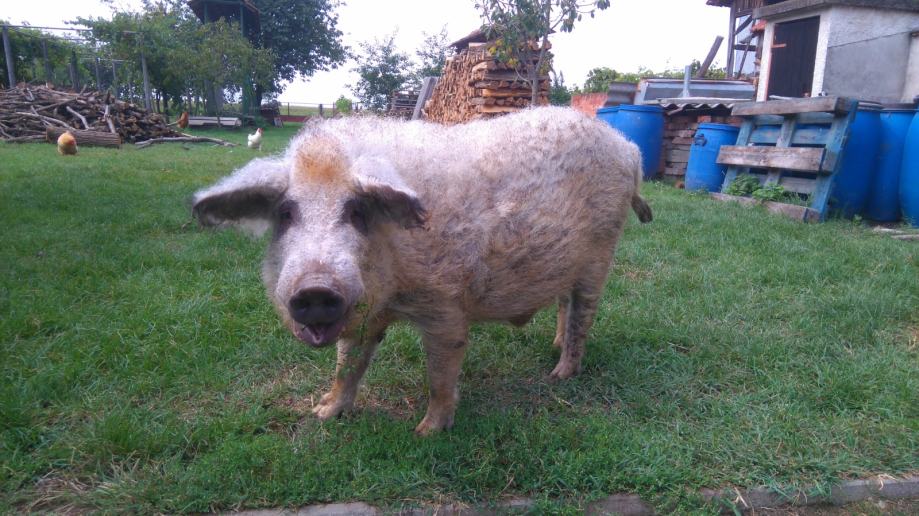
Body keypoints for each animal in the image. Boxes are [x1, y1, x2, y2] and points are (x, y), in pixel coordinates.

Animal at [192, 107, 652, 435]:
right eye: (286, 214)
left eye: (357, 212)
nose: (316, 289)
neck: (393, 289)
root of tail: (628, 150)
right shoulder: (365, 314)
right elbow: (347, 364)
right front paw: (322, 412)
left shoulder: (445, 303)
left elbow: (440, 372)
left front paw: (425, 432)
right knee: (564, 303)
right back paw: (553, 350)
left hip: (601, 252)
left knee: (582, 315)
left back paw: (558, 376)